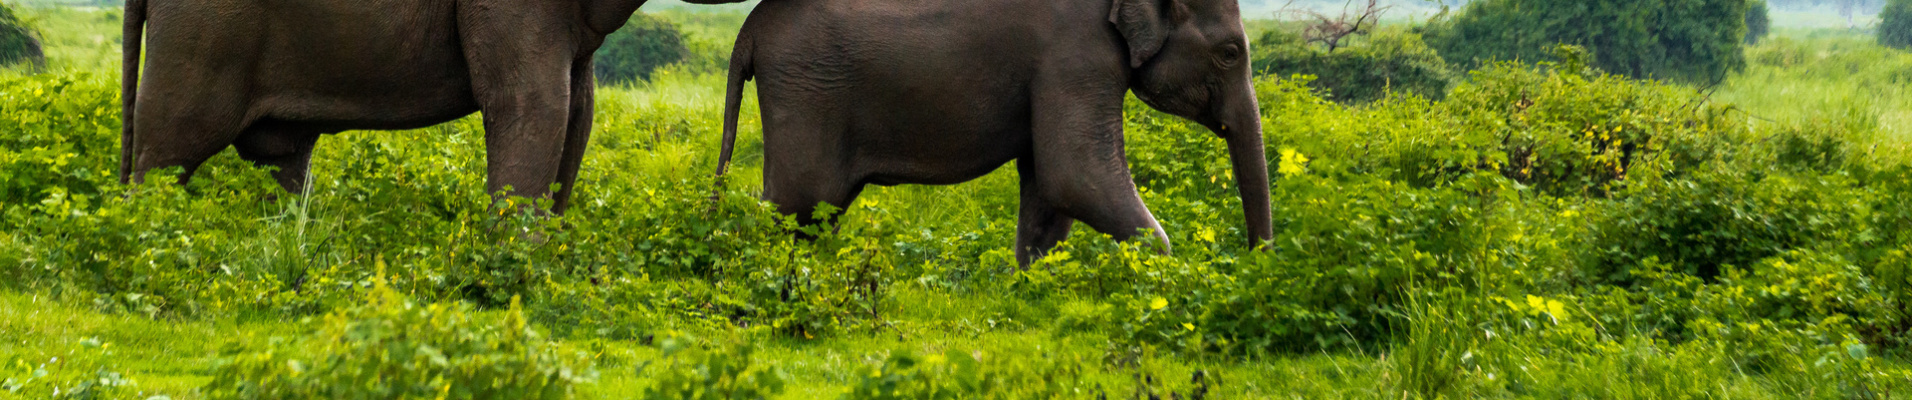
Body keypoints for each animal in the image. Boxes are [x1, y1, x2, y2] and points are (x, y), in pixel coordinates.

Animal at [715, 0, 1269, 266]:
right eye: (1230, 53)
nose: (1255, 261)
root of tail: (749, 28)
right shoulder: (1078, 52)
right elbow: (1074, 174)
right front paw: (1162, 276)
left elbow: (1049, 189)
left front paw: (1034, 285)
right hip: (808, 88)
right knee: (796, 203)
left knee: (813, 214)